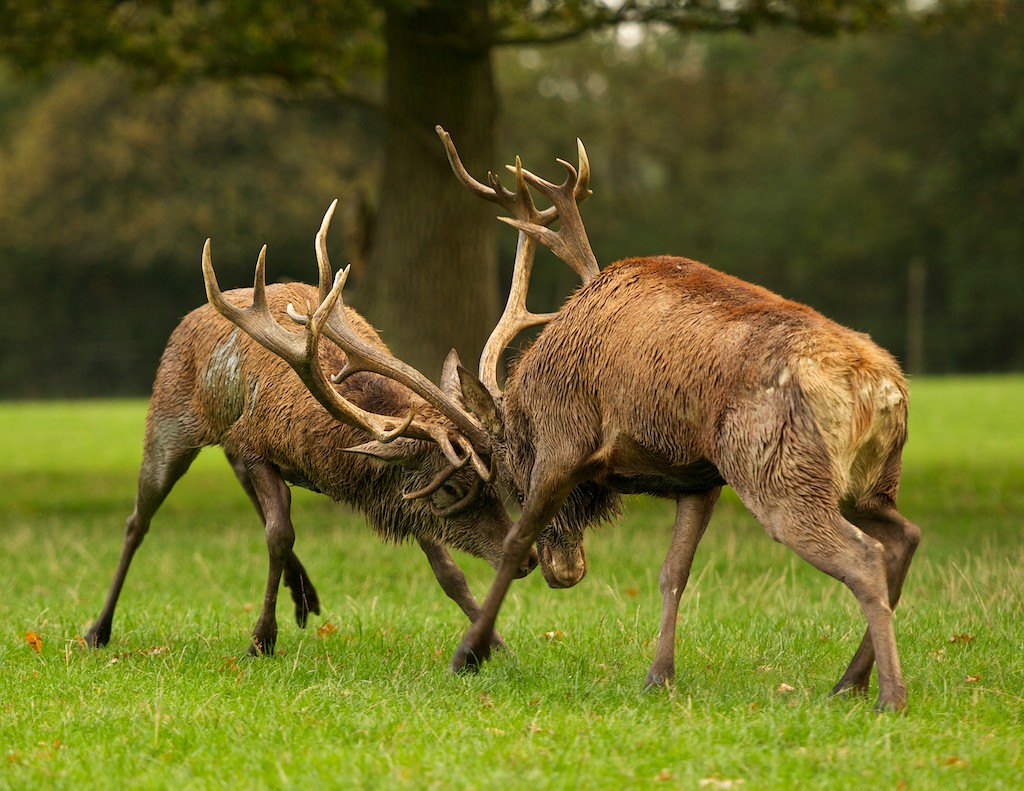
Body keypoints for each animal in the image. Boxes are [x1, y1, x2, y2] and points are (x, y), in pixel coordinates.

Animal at [84, 200, 537, 657]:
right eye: (451, 487)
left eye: (494, 482)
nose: (529, 560)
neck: (322, 455)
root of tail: (186, 319)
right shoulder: (256, 445)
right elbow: (279, 534)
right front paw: (261, 638)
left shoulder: (398, 492)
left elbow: (447, 570)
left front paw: (496, 645)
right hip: (170, 420)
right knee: (138, 520)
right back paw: (98, 629)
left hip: (225, 438)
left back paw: (303, 594)